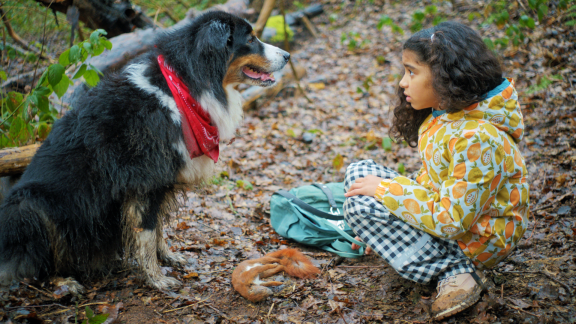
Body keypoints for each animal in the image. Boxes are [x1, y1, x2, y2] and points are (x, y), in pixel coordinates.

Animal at [0, 11, 288, 292]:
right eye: (250, 39)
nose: (287, 56)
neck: (182, 87)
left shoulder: (162, 179)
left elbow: (157, 225)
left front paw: (168, 258)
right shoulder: (145, 179)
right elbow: (147, 231)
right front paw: (157, 279)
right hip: (29, 207)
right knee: (34, 267)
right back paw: (63, 282)